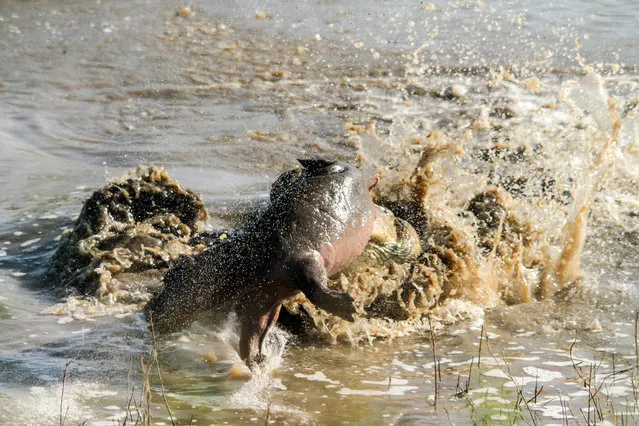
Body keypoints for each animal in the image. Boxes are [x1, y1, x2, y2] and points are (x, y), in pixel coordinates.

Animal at [148, 158, 378, 368]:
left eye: (170, 277)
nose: (148, 309)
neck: (241, 259)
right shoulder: (263, 297)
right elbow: (254, 330)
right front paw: (256, 361)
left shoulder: (304, 259)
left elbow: (314, 288)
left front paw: (350, 308)